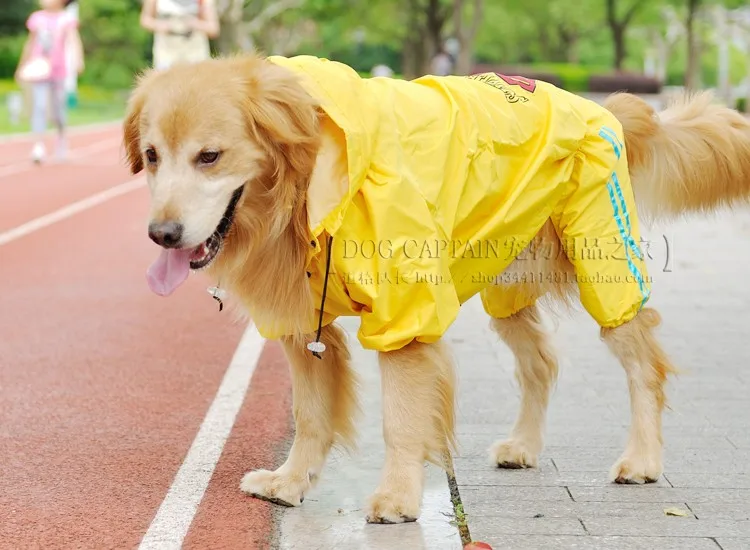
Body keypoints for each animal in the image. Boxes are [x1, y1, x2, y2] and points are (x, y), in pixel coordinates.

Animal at [125, 52, 750, 528]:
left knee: (643, 366)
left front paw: (399, 498)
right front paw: (291, 482)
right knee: (541, 363)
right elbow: (311, 415)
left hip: (604, 262)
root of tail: (602, 107)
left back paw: (642, 458)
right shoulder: (303, 324)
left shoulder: (405, 314)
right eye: (152, 156)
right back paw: (525, 446)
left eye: (210, 156)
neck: (303, 187)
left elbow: (400, 419)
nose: (161, 235)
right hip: (505, 284)